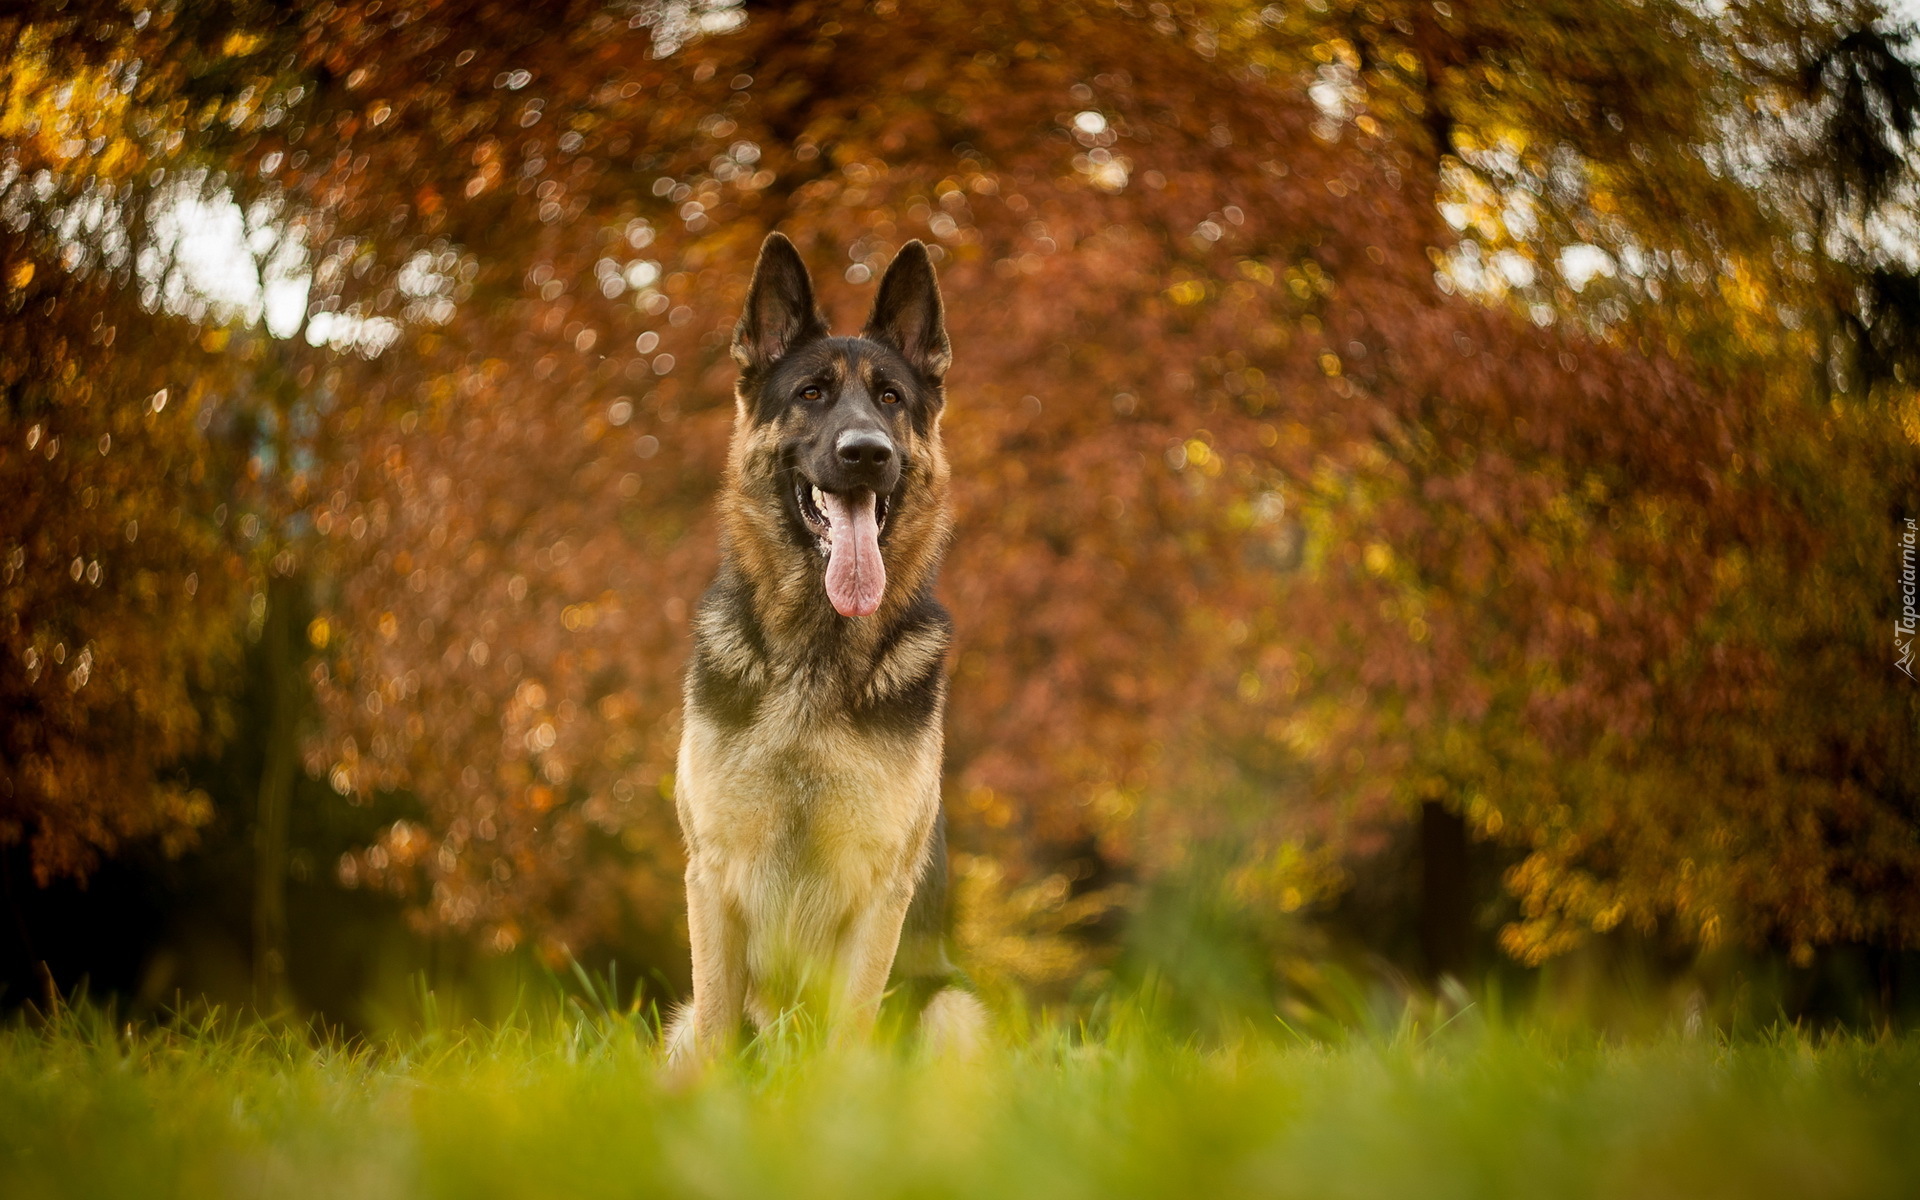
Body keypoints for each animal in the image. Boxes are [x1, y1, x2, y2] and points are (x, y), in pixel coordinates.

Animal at [664, 234, 990, 1059]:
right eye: (811, 394)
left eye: (891, 399)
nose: (866, 453)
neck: (816, 653)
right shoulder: (710, 879)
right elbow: (717, 1027)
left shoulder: (880, 891)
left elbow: (848, 1032)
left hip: (953, 1010)